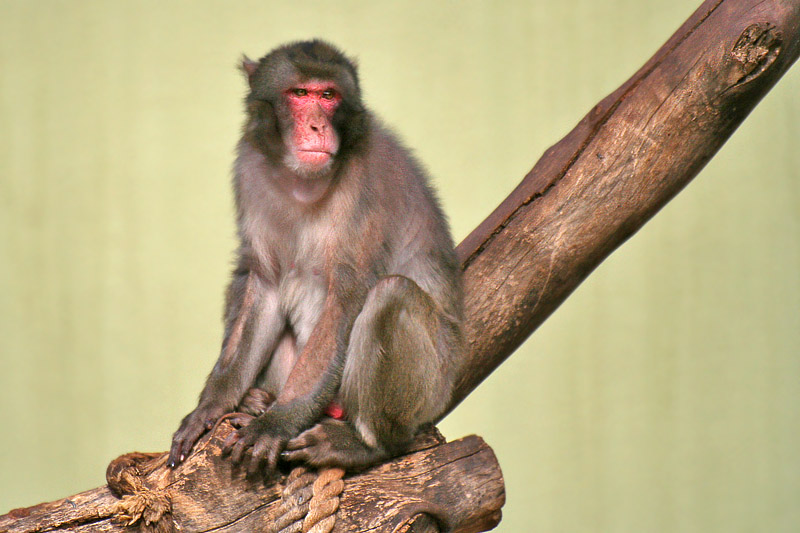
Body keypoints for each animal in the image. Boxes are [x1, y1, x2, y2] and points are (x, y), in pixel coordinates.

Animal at [167, 39, 464, 475]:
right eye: (300, 93)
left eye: (328, 96)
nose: (316, 127)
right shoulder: (251, 169)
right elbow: (265, 285)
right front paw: (212, 405)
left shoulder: (364, 183)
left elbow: (346, 297)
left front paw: (277, 423)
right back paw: (256, 400)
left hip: (435, 383)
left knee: (391, 295)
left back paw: (365, 443)